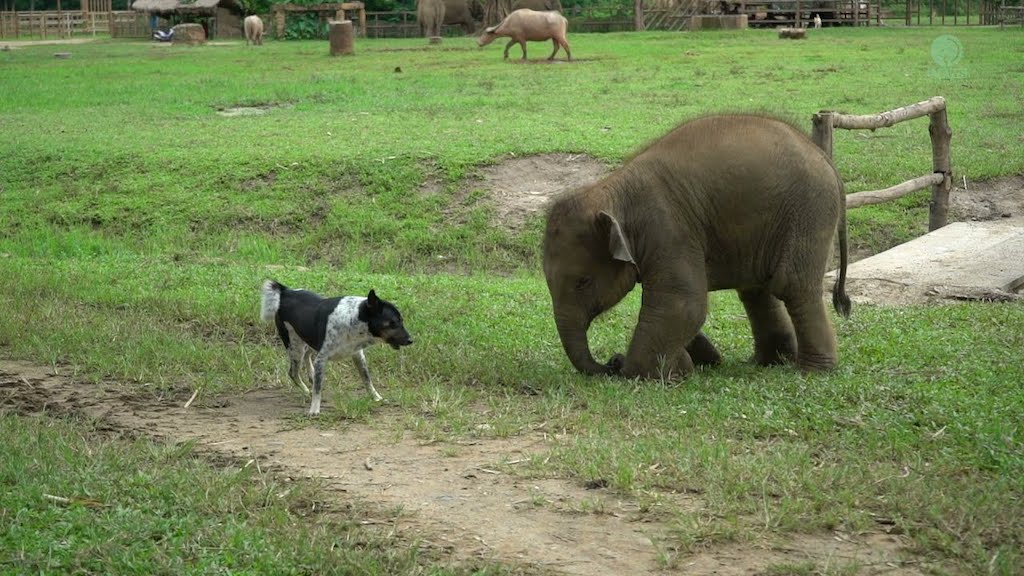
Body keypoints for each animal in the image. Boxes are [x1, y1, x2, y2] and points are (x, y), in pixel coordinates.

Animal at [260, 278, 411, 412]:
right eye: (392, 323)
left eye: (401, 321)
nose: (411, 340)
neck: (354, 318)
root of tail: (286, 292)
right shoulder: (322, 358)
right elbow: (317, 389)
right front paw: (314, 410)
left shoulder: (358, 355)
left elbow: (367, 380)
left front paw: (376, 398)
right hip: (295, 346)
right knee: (293, 373)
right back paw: (306, 390)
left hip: (309, 342)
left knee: (307, 356)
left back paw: (311, 375)